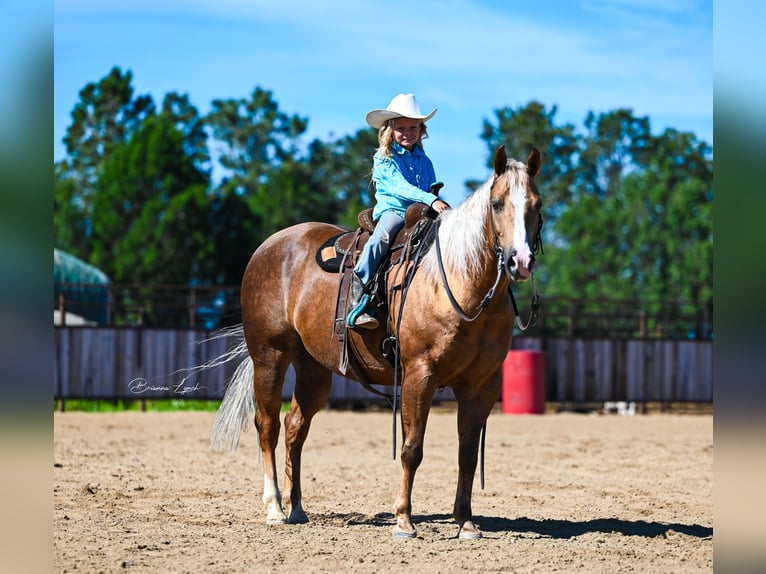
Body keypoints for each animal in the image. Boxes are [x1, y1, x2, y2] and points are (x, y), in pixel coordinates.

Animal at [210, 145, 544, 540]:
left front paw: (465, 522)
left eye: (537, 204)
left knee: (295, 427)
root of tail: (269, 247)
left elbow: (466, 454)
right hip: (270, 355)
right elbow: (412, 449)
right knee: (267, 425)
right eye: (496, 203)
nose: (520, 261)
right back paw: (275, 507)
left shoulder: (483, 385)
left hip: (313, 368)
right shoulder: (419, 374)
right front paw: (404, 520)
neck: (460, 284)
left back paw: (297, 509)